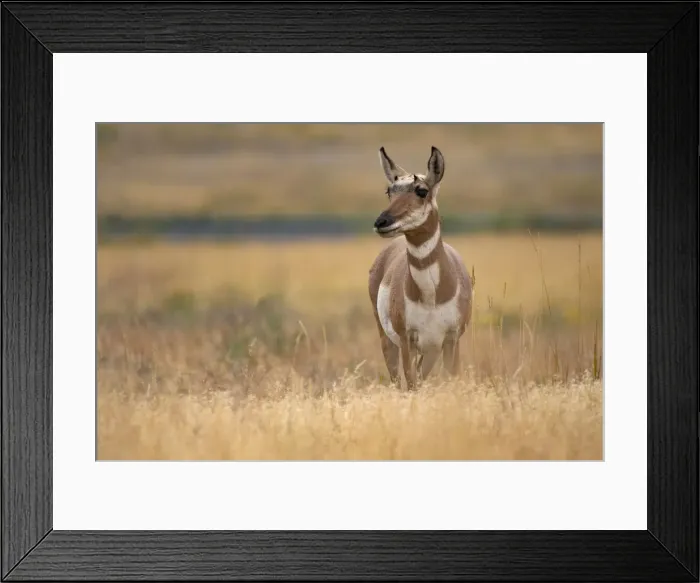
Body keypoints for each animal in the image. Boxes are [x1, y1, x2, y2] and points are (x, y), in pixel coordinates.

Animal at [368, 146, 473, 390]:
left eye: (422, 190)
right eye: (389, 191)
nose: (381, 222)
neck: (430, 296)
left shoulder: (451, 340)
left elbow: (452, 379)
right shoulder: (408, 341)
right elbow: (411, 384)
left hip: (431, 350)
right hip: (389, 341)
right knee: (397, 380)